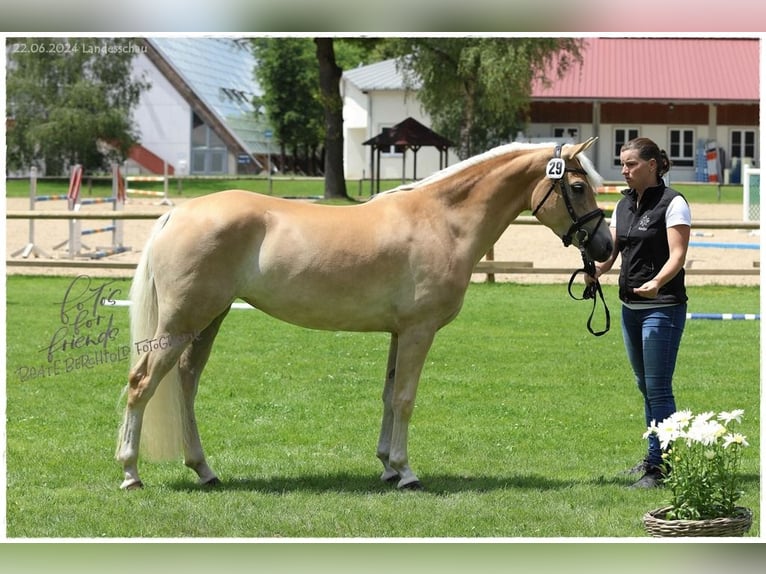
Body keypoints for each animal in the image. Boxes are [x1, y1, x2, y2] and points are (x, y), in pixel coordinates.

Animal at [117, 136, 616, 490]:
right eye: (576, 187)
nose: (605, 247)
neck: (442, 220)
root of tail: (177, 215)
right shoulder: (418, 331)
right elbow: (406, 398)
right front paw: (406, 472)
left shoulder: (398, 333)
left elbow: (388, 395)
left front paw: (387, 466)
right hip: (181, 322)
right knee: (143, 383)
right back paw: (130, 473)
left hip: (208, 320)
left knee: (185, 382)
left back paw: (203, 469)